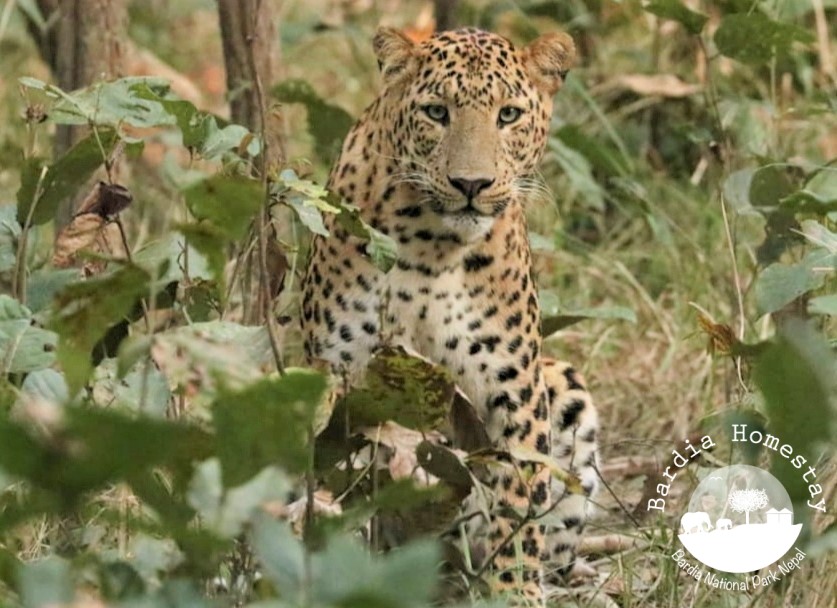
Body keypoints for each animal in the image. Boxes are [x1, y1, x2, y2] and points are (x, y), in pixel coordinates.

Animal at [301, 26, 598, 603]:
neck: (432, 246)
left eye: (508, 115)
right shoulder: (335, 374)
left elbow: (518, 503)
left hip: (568, 389)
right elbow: (331, 480)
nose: (471, 184)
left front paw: (515, 591)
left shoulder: (515, 388)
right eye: (437, 112)